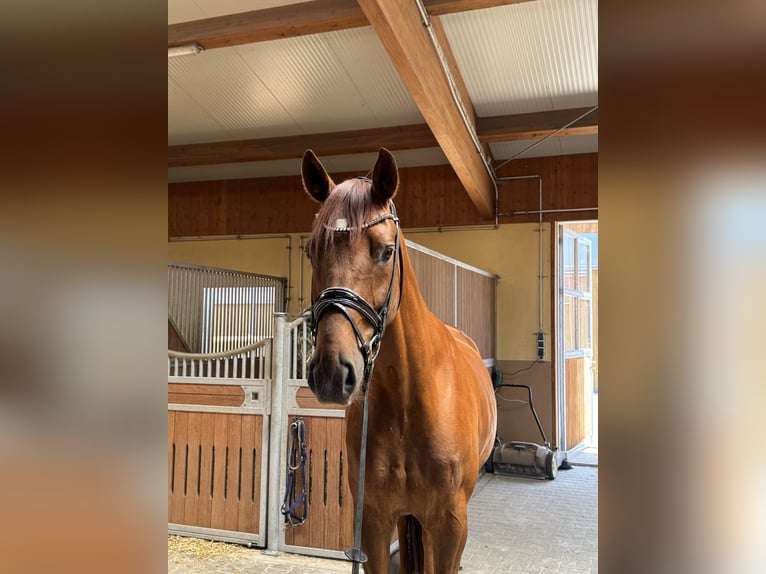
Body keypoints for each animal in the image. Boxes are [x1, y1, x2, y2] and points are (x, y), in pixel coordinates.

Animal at [302, 147, 497, 574]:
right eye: (311, 251)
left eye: (386, 251)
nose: (330, 372)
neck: (409, 396)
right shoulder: (374, 523)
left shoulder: (450, 525)